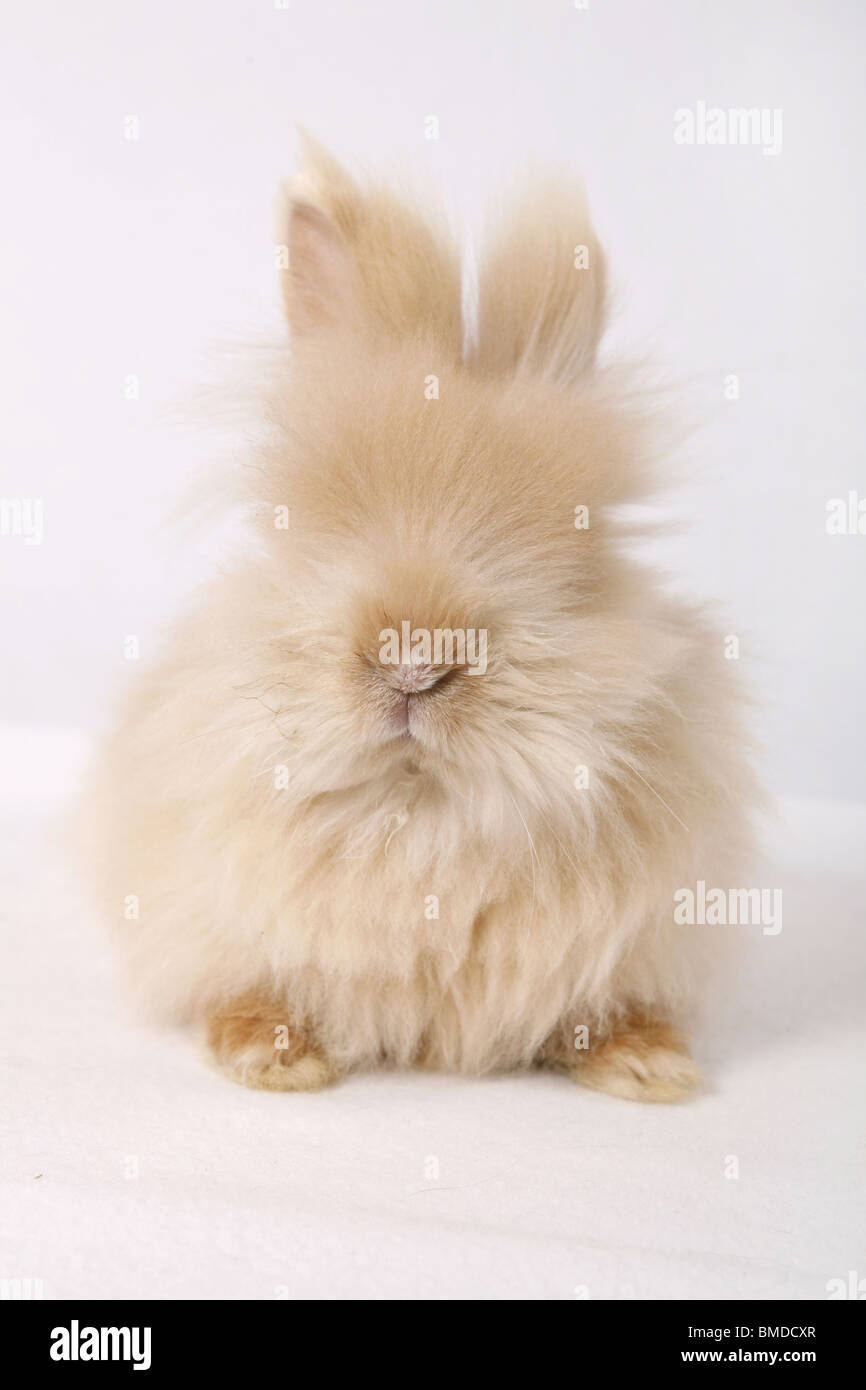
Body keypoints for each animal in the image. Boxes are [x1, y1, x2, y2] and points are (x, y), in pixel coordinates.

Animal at [84, 135, 758, 1102]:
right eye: (307, 521)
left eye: (582, 541)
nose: (412, 660)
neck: (422, 814)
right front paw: (271, 1058)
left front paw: (652, 1066)